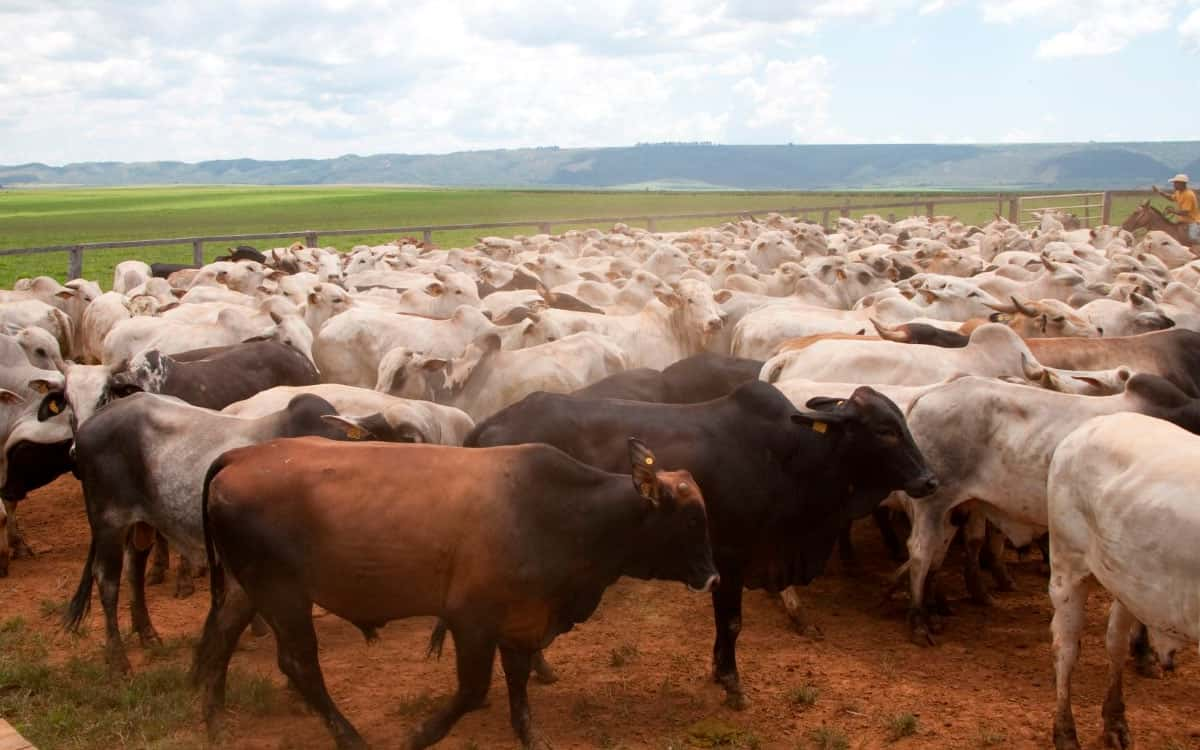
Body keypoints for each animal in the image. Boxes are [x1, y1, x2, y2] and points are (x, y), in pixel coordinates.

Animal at [195, 439, 715, 748]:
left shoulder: (522, 619)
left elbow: (518, 682)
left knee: (221, 638)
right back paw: (349, 736)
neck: (559, 510)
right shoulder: (472, 621)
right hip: (282, 592)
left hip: (249, 588)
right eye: (691, 519)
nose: (712, 577)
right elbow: (472, 689)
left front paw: (529, 734)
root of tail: (240, 455)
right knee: (299, 663)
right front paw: (420, 734)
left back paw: (215, 721)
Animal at [463, 384, 931, 705]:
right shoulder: (731, 559)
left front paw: (720, 671)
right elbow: (733, 623)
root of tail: (484, 427)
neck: (791, 456)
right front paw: (731, 683)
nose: (930, 480)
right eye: (886, 430)